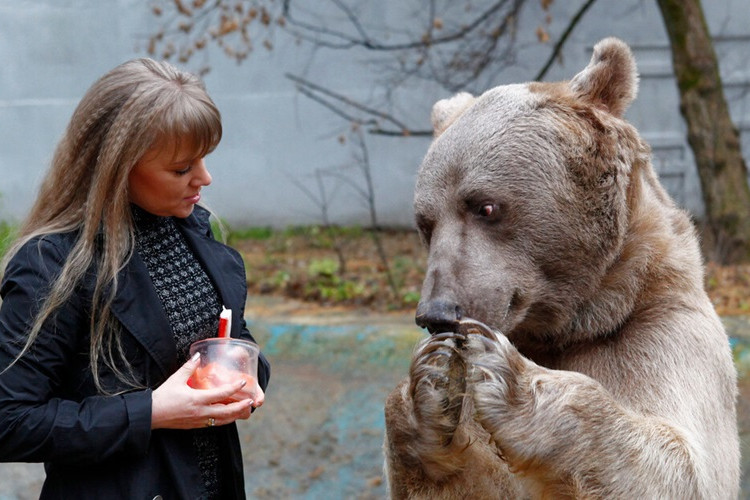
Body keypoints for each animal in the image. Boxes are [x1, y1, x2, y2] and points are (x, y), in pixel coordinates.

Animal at [388, 37, 740, 498]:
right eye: (426, 224)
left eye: (485, 206)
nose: (437, 314)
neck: (578, 324)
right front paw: (428, 384)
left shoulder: (665, 335)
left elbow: (682, 465)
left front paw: (508, 376)